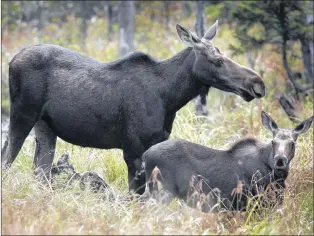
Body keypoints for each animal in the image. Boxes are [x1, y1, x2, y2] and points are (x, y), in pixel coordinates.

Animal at [1, 20, 264, 194]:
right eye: (218, 60)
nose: (257, 83)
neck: (170, 97)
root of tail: (12, 61)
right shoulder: (133, 149)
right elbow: (137, 196)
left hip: (45, 127)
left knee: (40, 172)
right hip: (22, 115)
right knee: (7, 158)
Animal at [144, 111, 312, 212]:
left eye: (293, 143)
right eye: (273, 142)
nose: (280, 161)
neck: (277, 177)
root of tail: (145, 156)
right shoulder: (255, 203)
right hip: (163, 192)